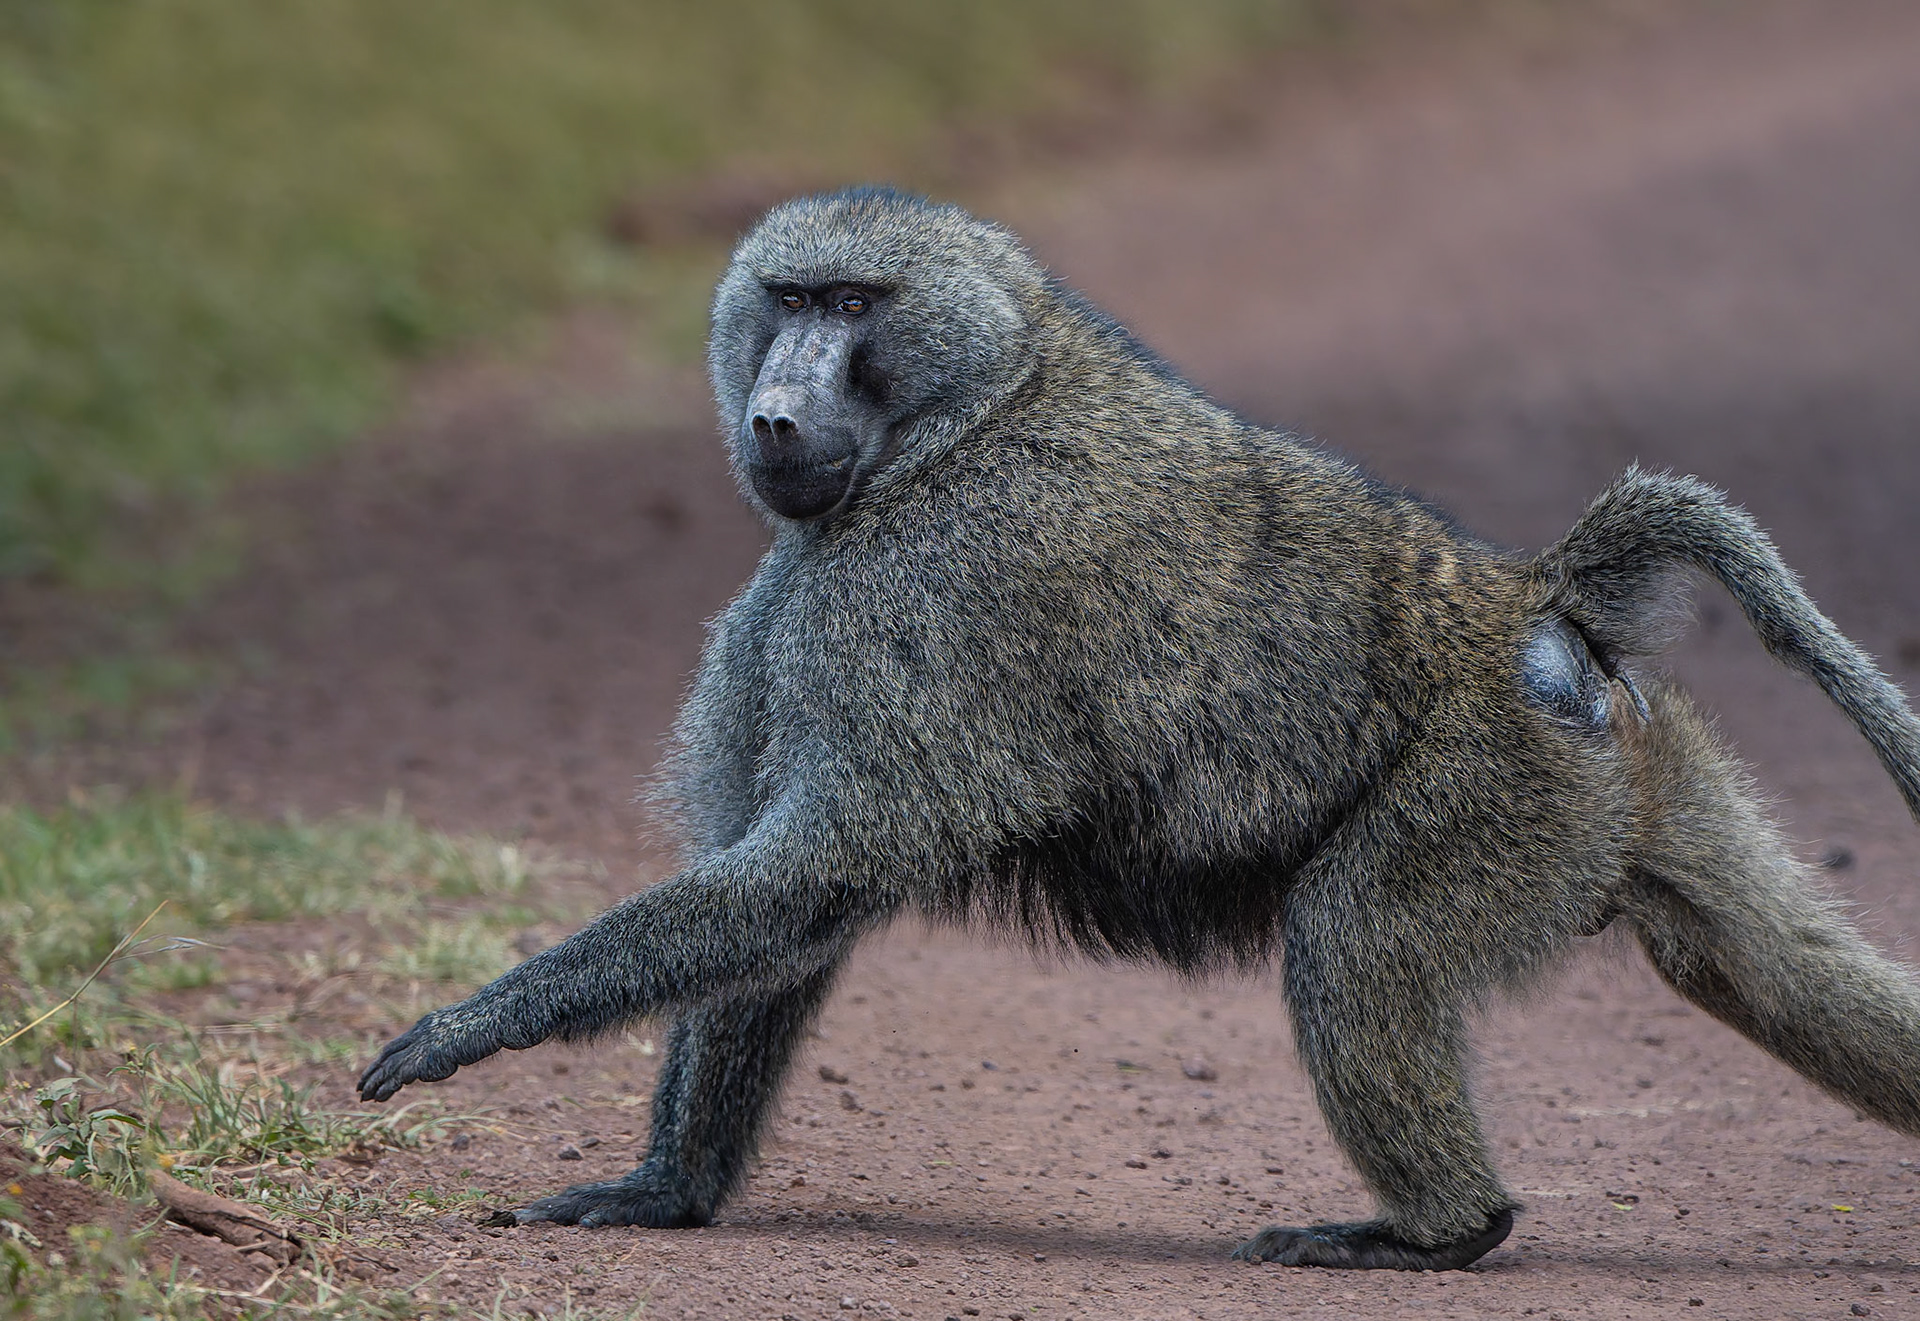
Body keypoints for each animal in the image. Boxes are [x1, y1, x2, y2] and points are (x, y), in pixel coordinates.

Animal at [359, 187, 1920, 1271]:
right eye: (787, 296)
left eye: (855, 304)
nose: (778, 412)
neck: (975, 406)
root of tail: (1536, 602)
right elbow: (787, 916)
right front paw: (663, 1192)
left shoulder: (908, 593)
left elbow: (813, 875)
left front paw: (468, 1024)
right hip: (1612, 779)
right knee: (1772, 966)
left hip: (1493, 783)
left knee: (1353, 938)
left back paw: (1436, 1231)